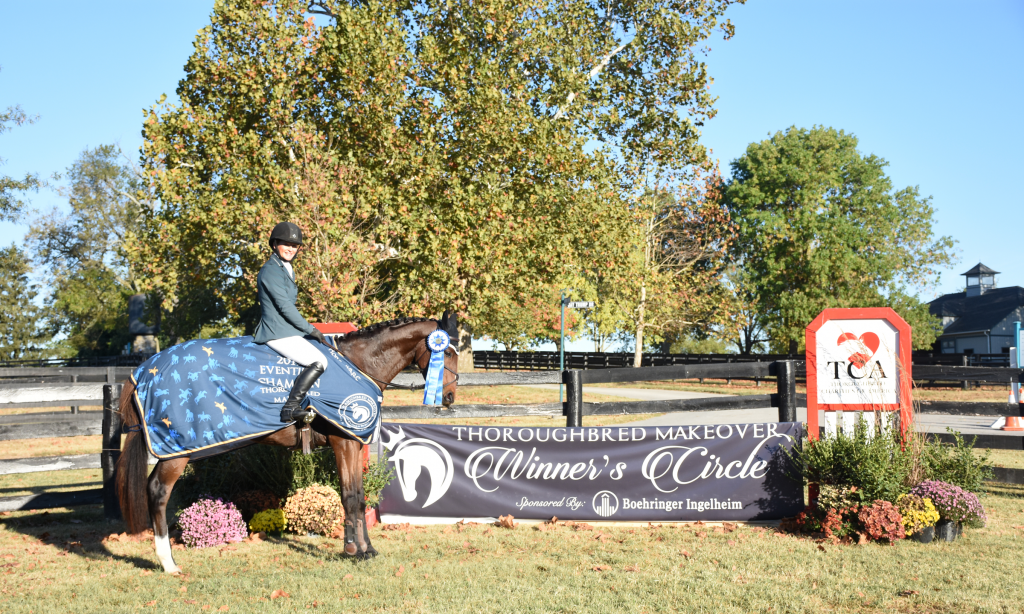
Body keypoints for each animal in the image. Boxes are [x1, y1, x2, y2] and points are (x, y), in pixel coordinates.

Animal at [115, 315, 460, 573]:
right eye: (447, 351)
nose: (449, 397)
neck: (357, 363)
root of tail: (143, 370)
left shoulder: (351, 442)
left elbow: (359, 498)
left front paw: (364, 548)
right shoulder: (344, 442)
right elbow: (349, 497)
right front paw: (354, 551)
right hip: (176, 451)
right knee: (158, 491)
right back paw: (168, 562)